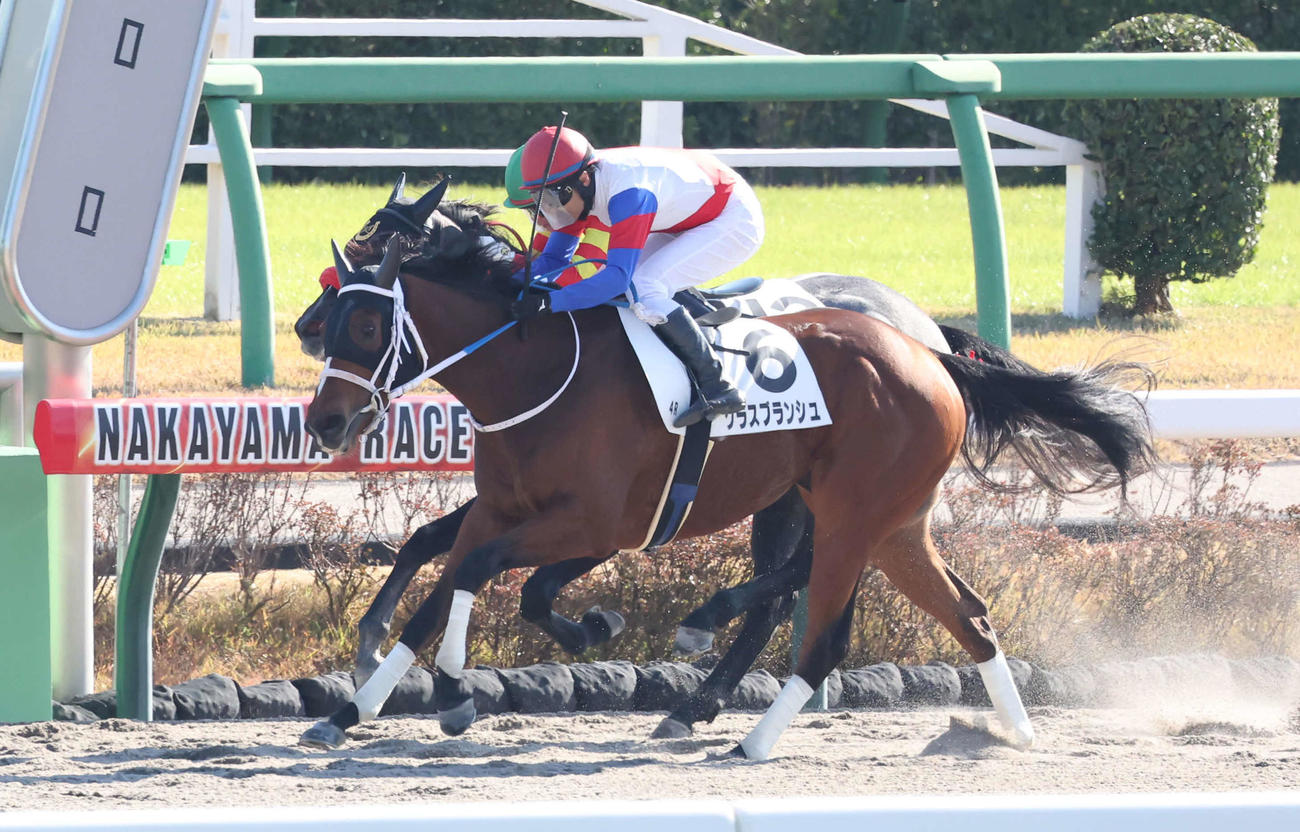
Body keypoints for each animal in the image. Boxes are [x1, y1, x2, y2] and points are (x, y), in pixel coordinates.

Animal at [297, 192, 1157, 758]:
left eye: (366, 320)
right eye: (338, 314)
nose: (324, 421)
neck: (537, 369)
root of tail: (929, 351)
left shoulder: (599, 523)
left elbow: (486, 575)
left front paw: (462, 687)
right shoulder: (502, 509)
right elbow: (441, 574)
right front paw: (355, 705)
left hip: (846, 509)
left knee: (809, 605)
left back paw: (721, 684)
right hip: (867, 514)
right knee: (958, 613)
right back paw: (1009, 731)